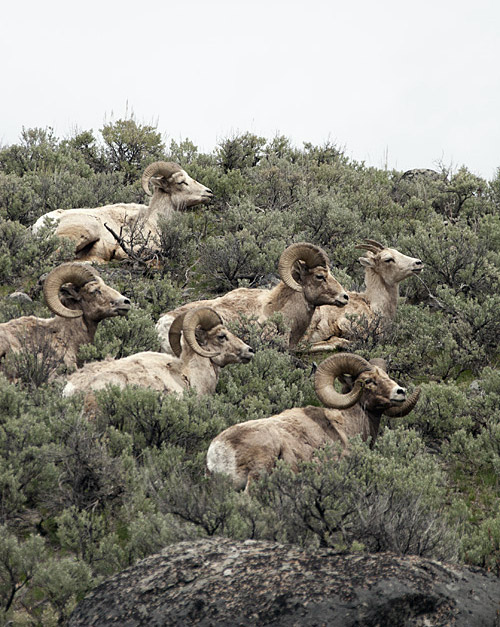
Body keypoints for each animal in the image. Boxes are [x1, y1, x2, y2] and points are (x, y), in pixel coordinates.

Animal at [205, 354, 420, 490]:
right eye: (368, 381)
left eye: (387, 376)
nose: (400, 392)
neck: (345, 425)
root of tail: (219, 452)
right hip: (259, 473)